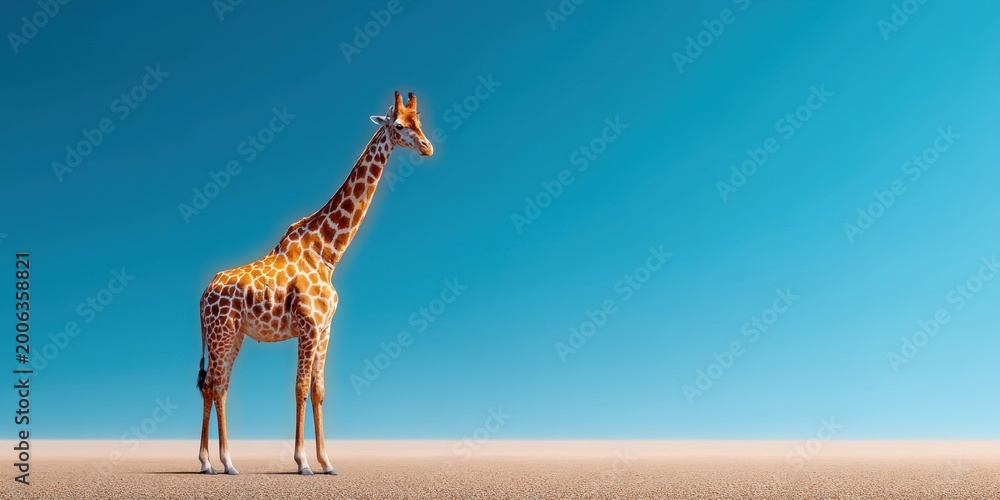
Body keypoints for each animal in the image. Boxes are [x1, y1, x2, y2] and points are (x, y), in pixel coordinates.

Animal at [196, 91, 433, 475]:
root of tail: (202, 295)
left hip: (234, 335)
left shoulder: (325, 328)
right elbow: (300, 388)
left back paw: (216, 462)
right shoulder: (308, 325)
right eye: (398, 125)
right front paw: (303, 462)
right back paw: (217, 463)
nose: (428, 147)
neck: (328, 252)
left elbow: (319, 390)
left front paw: (327, 462)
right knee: (214, 385)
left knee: (217, 386)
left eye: (419, 122)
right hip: (221, 333)